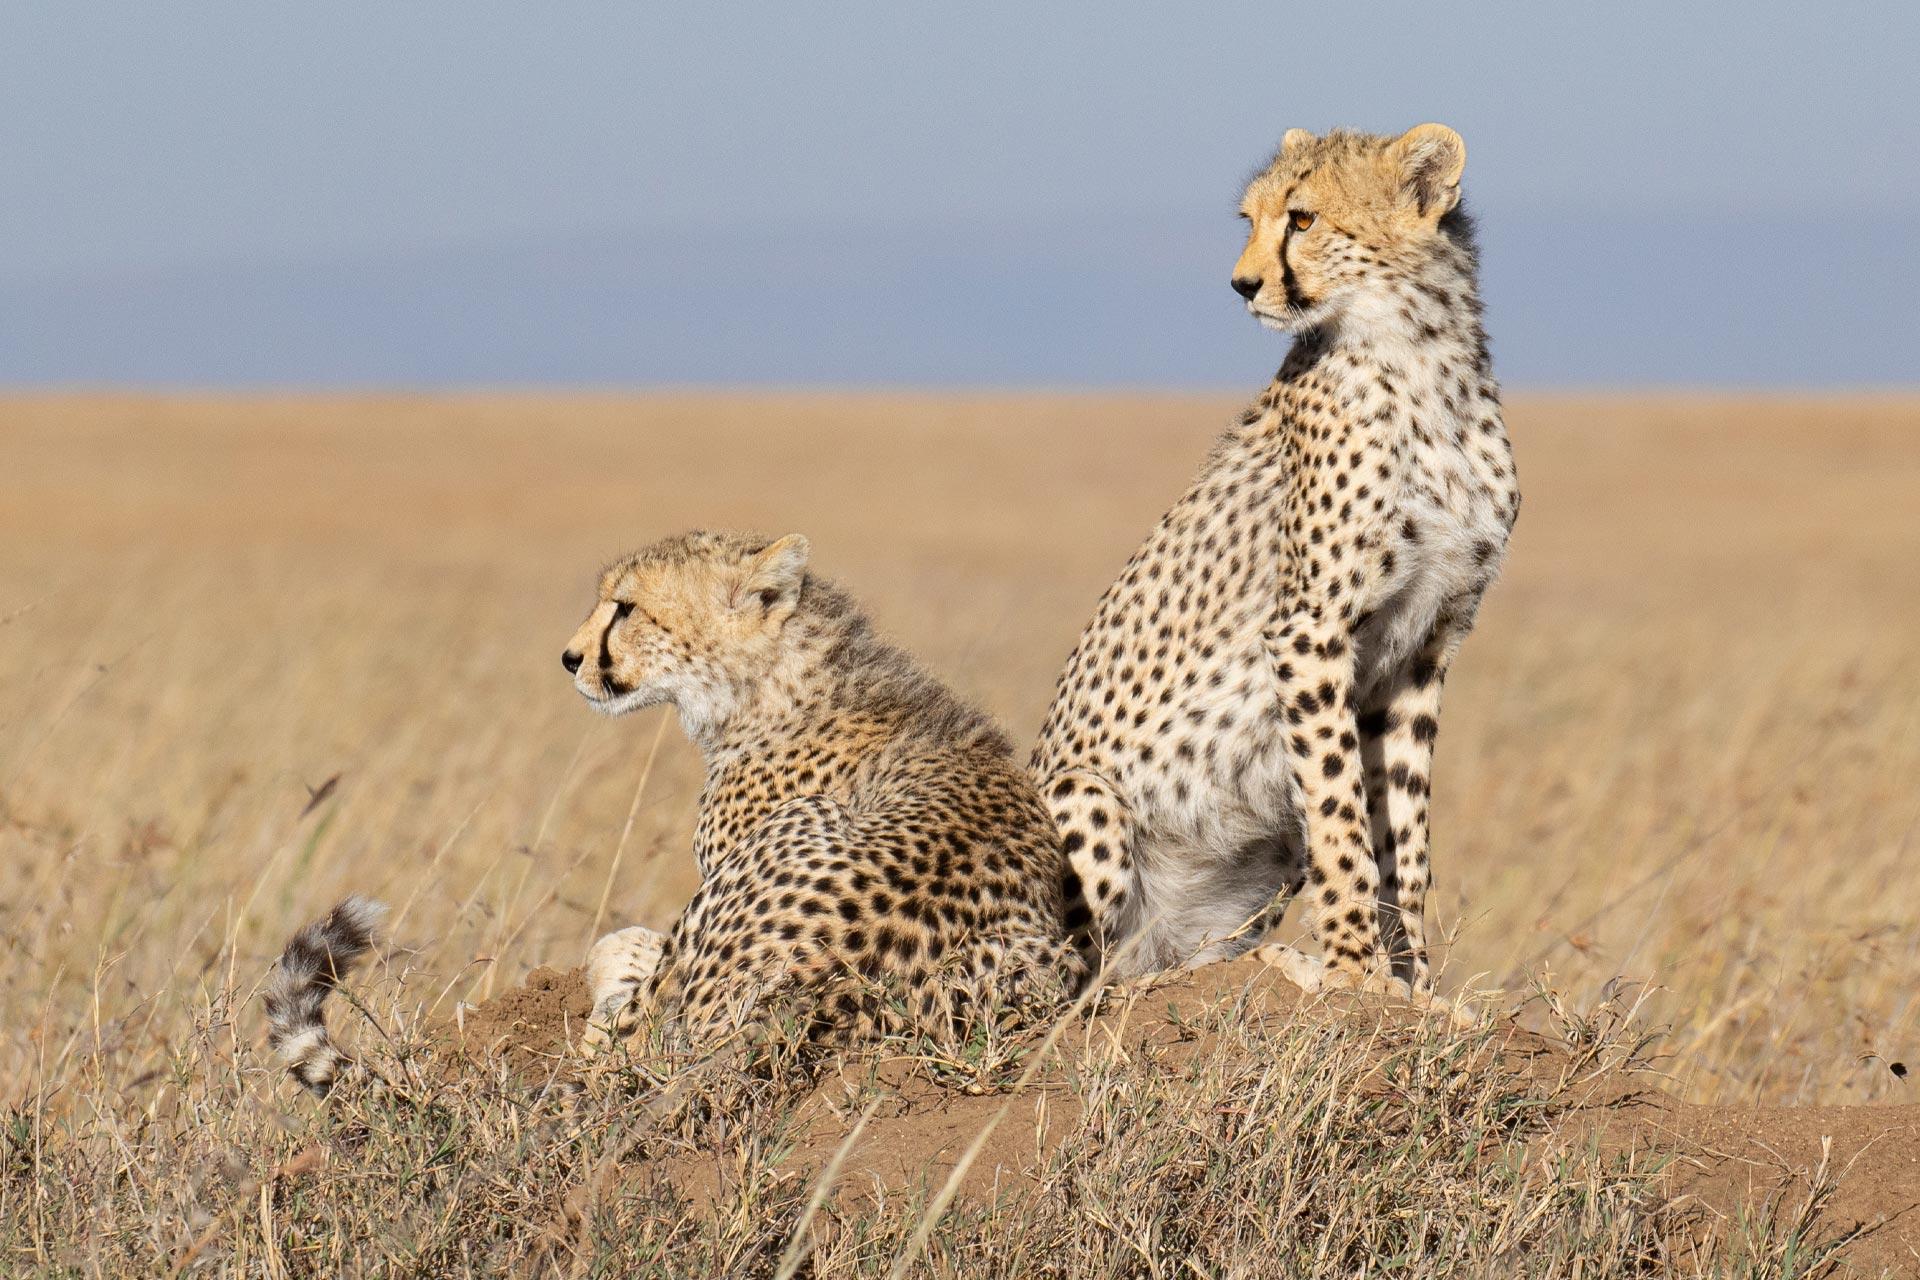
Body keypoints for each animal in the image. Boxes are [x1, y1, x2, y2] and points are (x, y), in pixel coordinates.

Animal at [1029, 127, 1520, 990]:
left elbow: (1405, 836)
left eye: (1303, 218)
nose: (1243, 284)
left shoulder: (1426, 645)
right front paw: (1356, 972)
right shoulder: (1308, 631)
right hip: (1084, 794)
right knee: (1066, 988)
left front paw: (1417, 985)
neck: (1422, 361)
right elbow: (1340, 815)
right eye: (1250, 219)